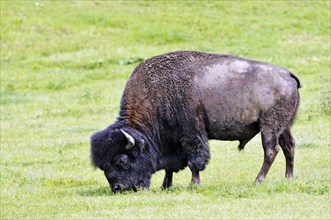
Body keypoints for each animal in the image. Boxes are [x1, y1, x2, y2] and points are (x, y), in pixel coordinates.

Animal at [90, 50, 300, 192]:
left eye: (122, 160)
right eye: (103, 166)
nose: (117, 188)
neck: (156, 93)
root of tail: (287, 74)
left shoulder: (191, 132)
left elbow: (194, 159)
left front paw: (194, 183)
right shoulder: (172, 141)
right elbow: (170, 166)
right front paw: (165, 186)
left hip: (269, 127)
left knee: (271, 151)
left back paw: (258, 180)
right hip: (284, 127)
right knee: (289, 147)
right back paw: (288, 178)